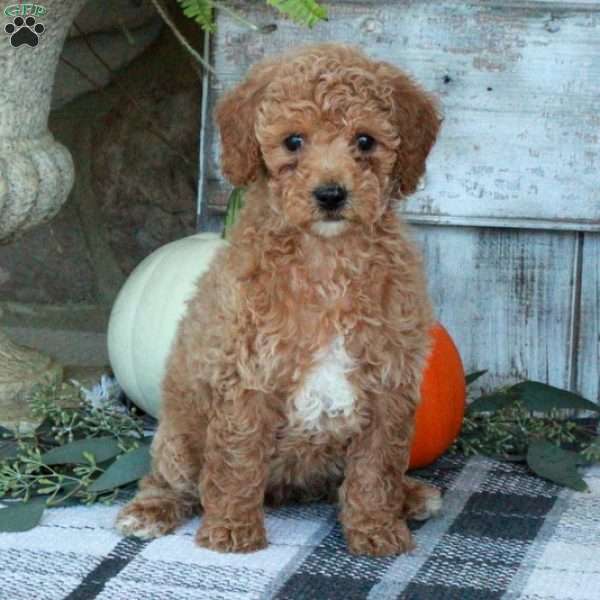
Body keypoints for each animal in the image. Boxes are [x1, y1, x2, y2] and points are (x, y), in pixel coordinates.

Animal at [117, 44, 442, 556]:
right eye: (293, 142)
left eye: (365, 141)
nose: (330, 194)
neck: (327, 257)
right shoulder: (247, 376)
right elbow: (236, 460)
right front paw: (232, 530)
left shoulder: (388, 382)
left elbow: (376, 467)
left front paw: (376, 528)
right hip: (179, 436)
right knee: (170, 478)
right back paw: (150, 510)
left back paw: (409, 496)